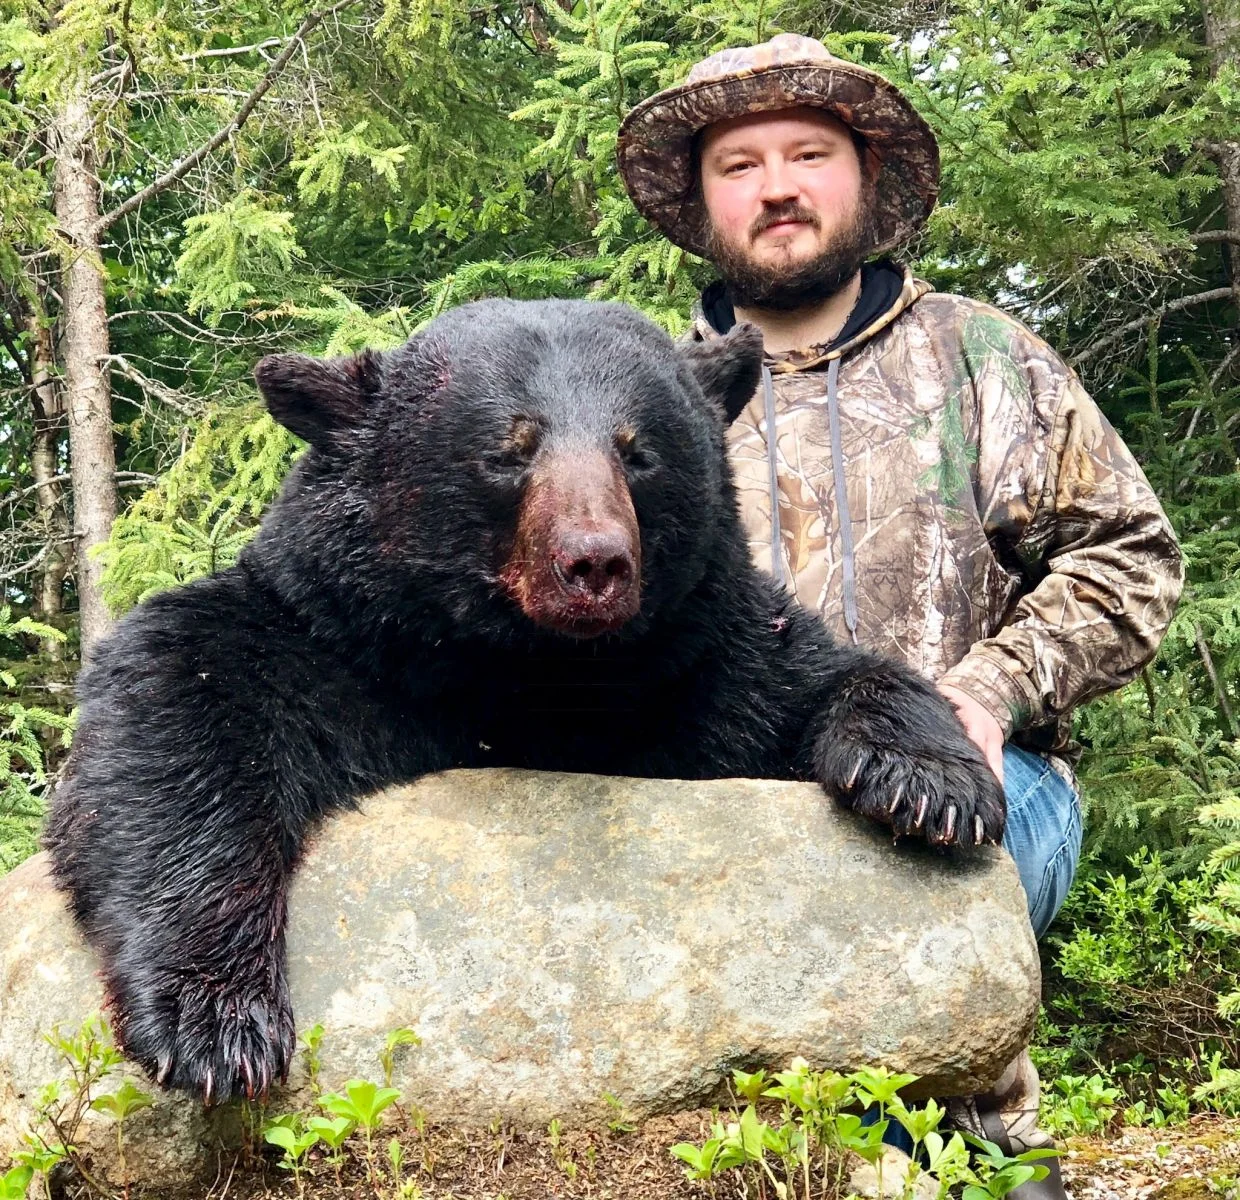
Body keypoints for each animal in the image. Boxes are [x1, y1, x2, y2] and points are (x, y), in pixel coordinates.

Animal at [45, 298, 1005, 1104]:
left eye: (637, 450)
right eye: (509, 449)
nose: (595, 561)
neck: (535, 679)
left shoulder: (704, 670)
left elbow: (820, 673)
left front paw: (932, 785)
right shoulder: (332, 650)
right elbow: (173, 713)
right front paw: (216, 1020)